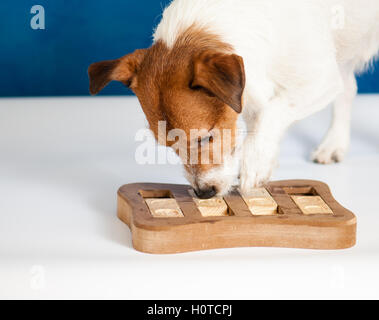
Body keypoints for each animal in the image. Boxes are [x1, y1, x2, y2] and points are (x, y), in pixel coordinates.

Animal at [88, 0, 379, 199]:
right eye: (170, 146)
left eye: (205, 137)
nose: (204, 193)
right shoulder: (249, 99)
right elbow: (260, 122)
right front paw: (265, 159)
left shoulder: (321, 79)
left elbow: (273, 112)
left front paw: (256, 162)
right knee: (349, 88)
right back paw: (334, 144)